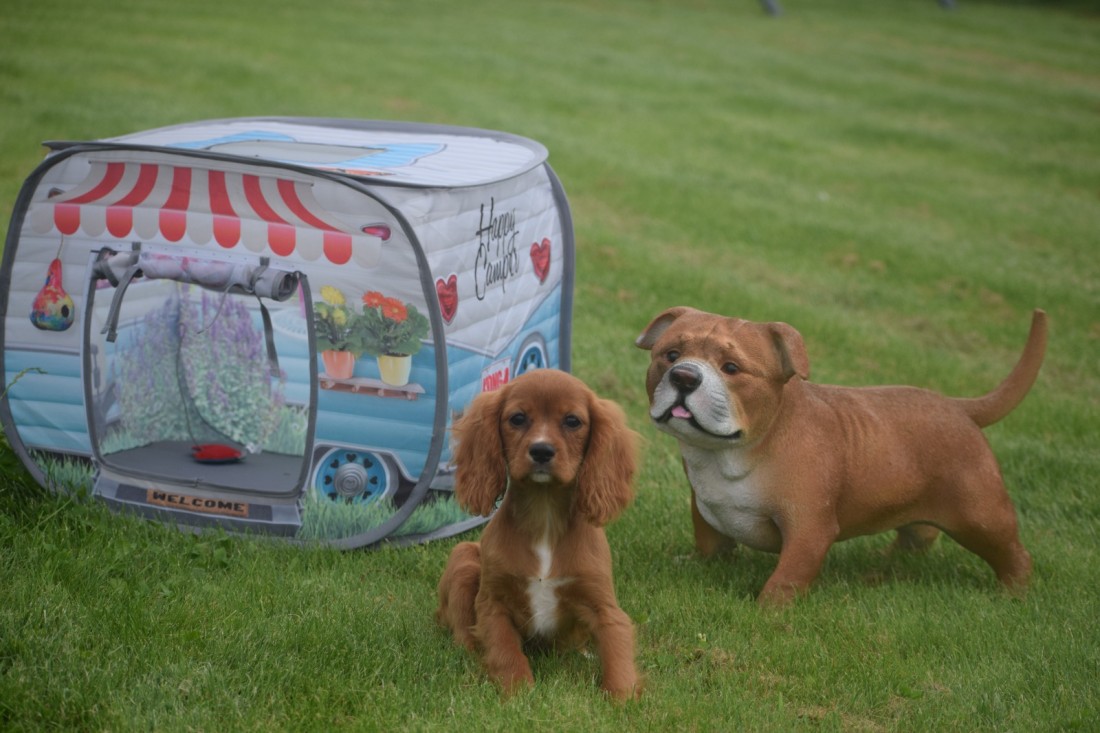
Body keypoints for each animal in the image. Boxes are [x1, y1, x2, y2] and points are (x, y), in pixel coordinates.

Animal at [435, 369, 641, 700]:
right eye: (518, 418)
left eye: (573, 421)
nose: (541, 450)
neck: (544, 515)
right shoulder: (493, 604)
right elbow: (505, 650)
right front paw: (519, 692)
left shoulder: (603, 605)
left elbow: (617, 648)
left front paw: (623, 699)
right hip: (463, 557)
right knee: (462, 635)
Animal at [636, 307, 1047, 607]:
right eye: (671, 355)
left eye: (732, 368)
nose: (684, 376)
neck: (734, 452)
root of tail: (960, 408)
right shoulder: (706, 508)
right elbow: (710, 544)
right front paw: (697, 565)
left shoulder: (809, 529)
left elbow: (789, 576)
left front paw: (768, 610)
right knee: (919, 533)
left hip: (981, 517)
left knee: (1014, 553)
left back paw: (1014, 593)